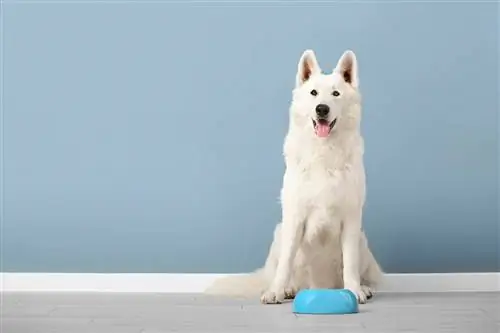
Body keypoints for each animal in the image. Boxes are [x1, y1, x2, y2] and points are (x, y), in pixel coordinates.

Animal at [207, 48, 382, 304]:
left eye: (336, 93)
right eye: (313, 93)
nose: (322, 108)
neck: (323, 152)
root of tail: (318, 286)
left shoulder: (351, 218)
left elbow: (349, 262)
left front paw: (353, 289)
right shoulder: (295, 217)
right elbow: (286, 262)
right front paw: (276, 291)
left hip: (362, 239)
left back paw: (363, 287)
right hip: (279, 233)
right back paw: (288, 289)